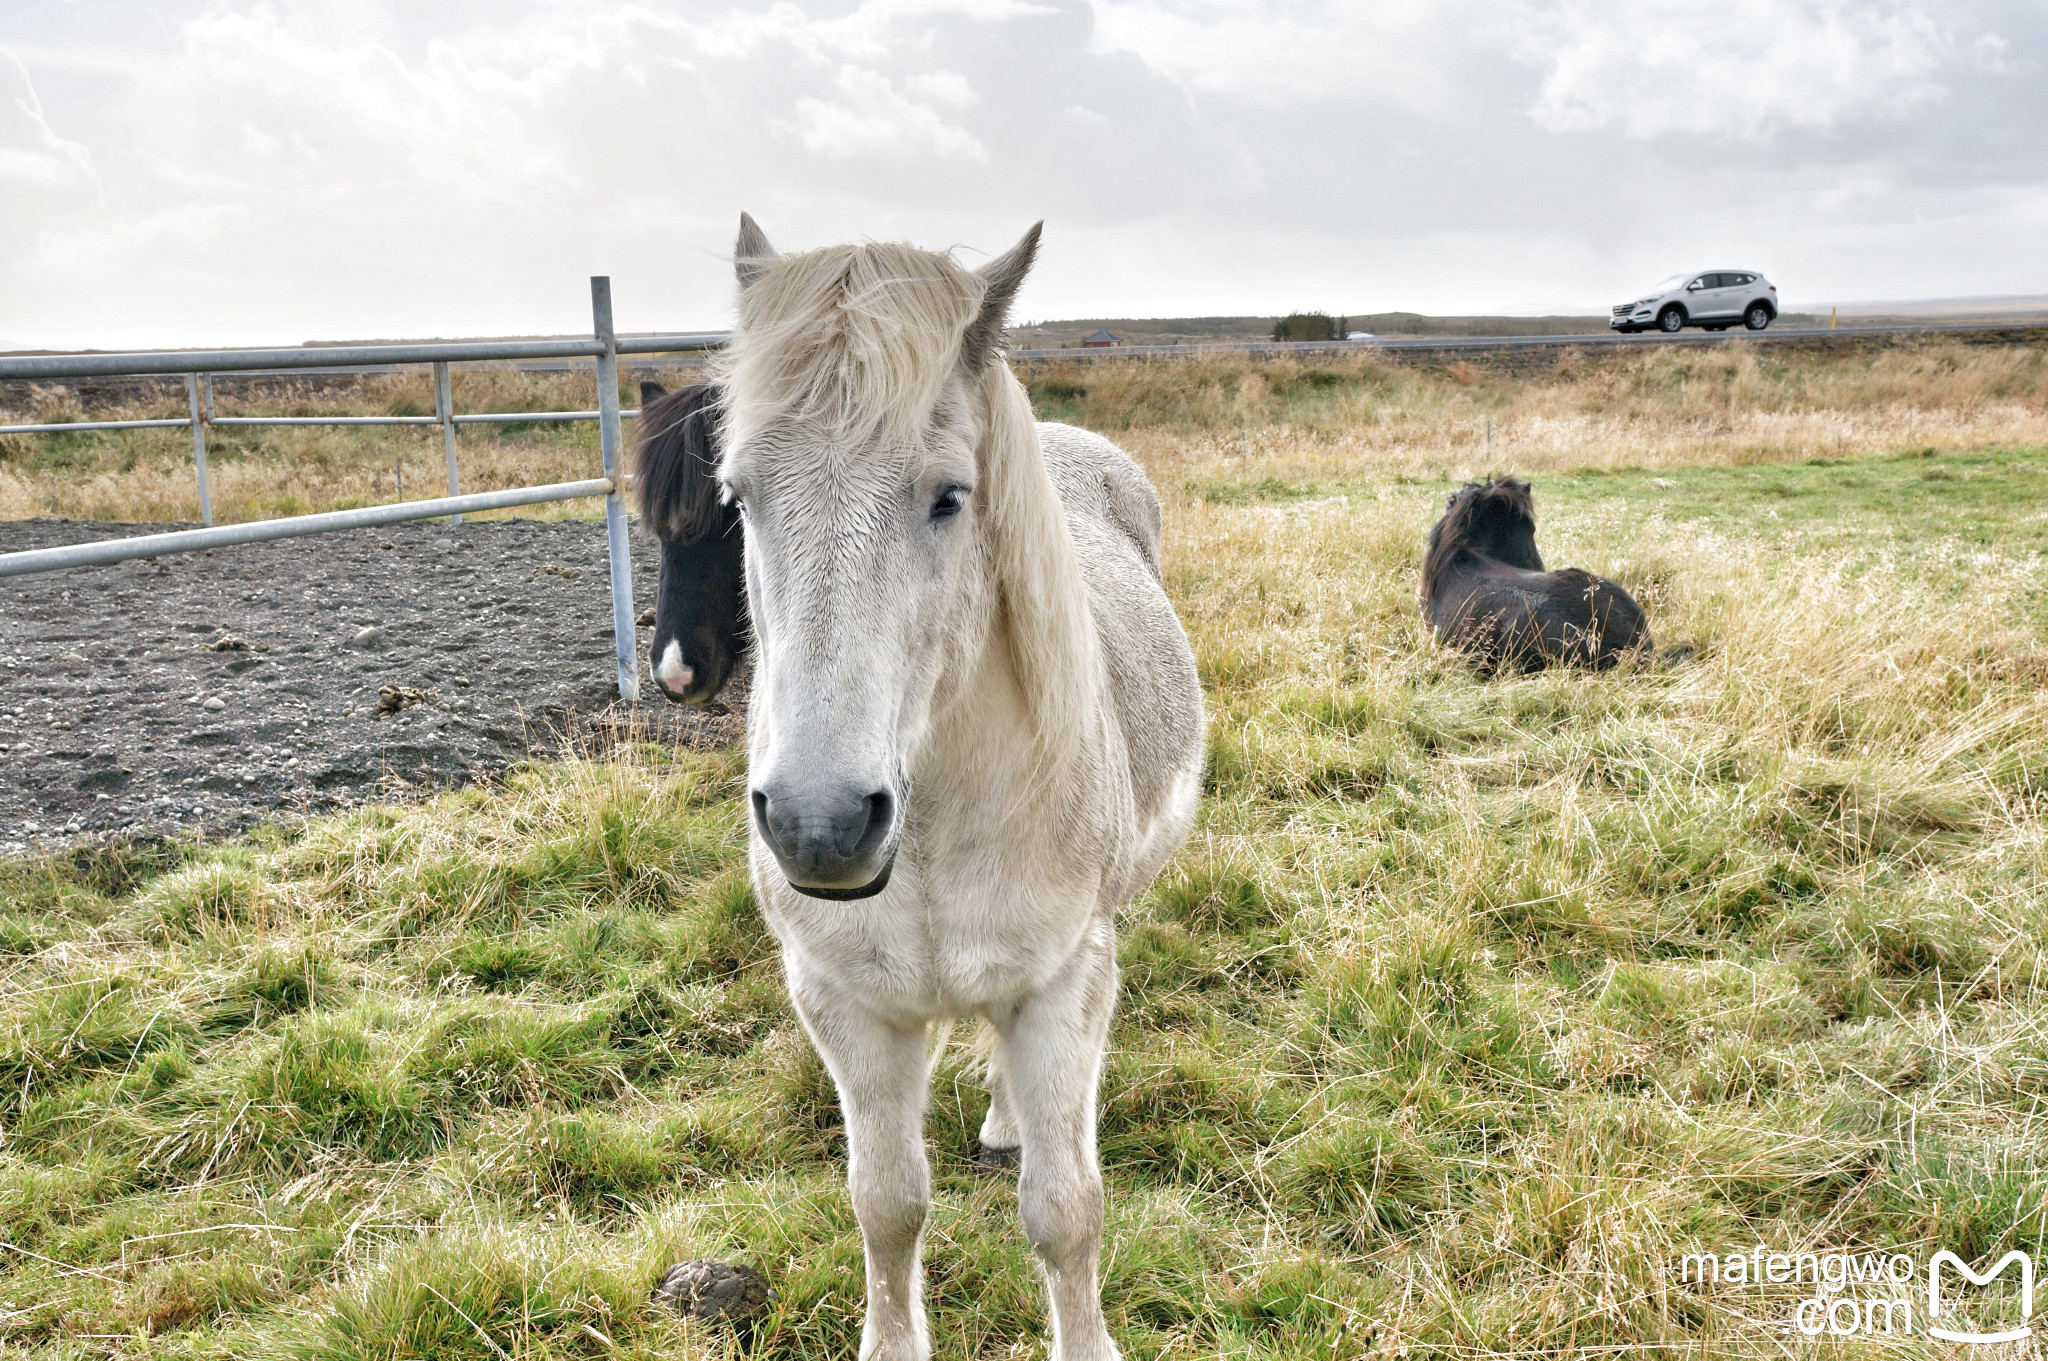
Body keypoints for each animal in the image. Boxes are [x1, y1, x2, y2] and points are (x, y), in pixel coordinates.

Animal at [716, 217, 1204, 1350]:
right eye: (738, 495)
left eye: (948, 495)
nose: (817, 823)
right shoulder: (845, 1005)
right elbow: (886, 1202)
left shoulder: (1063, 981)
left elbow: (1065, 1211)